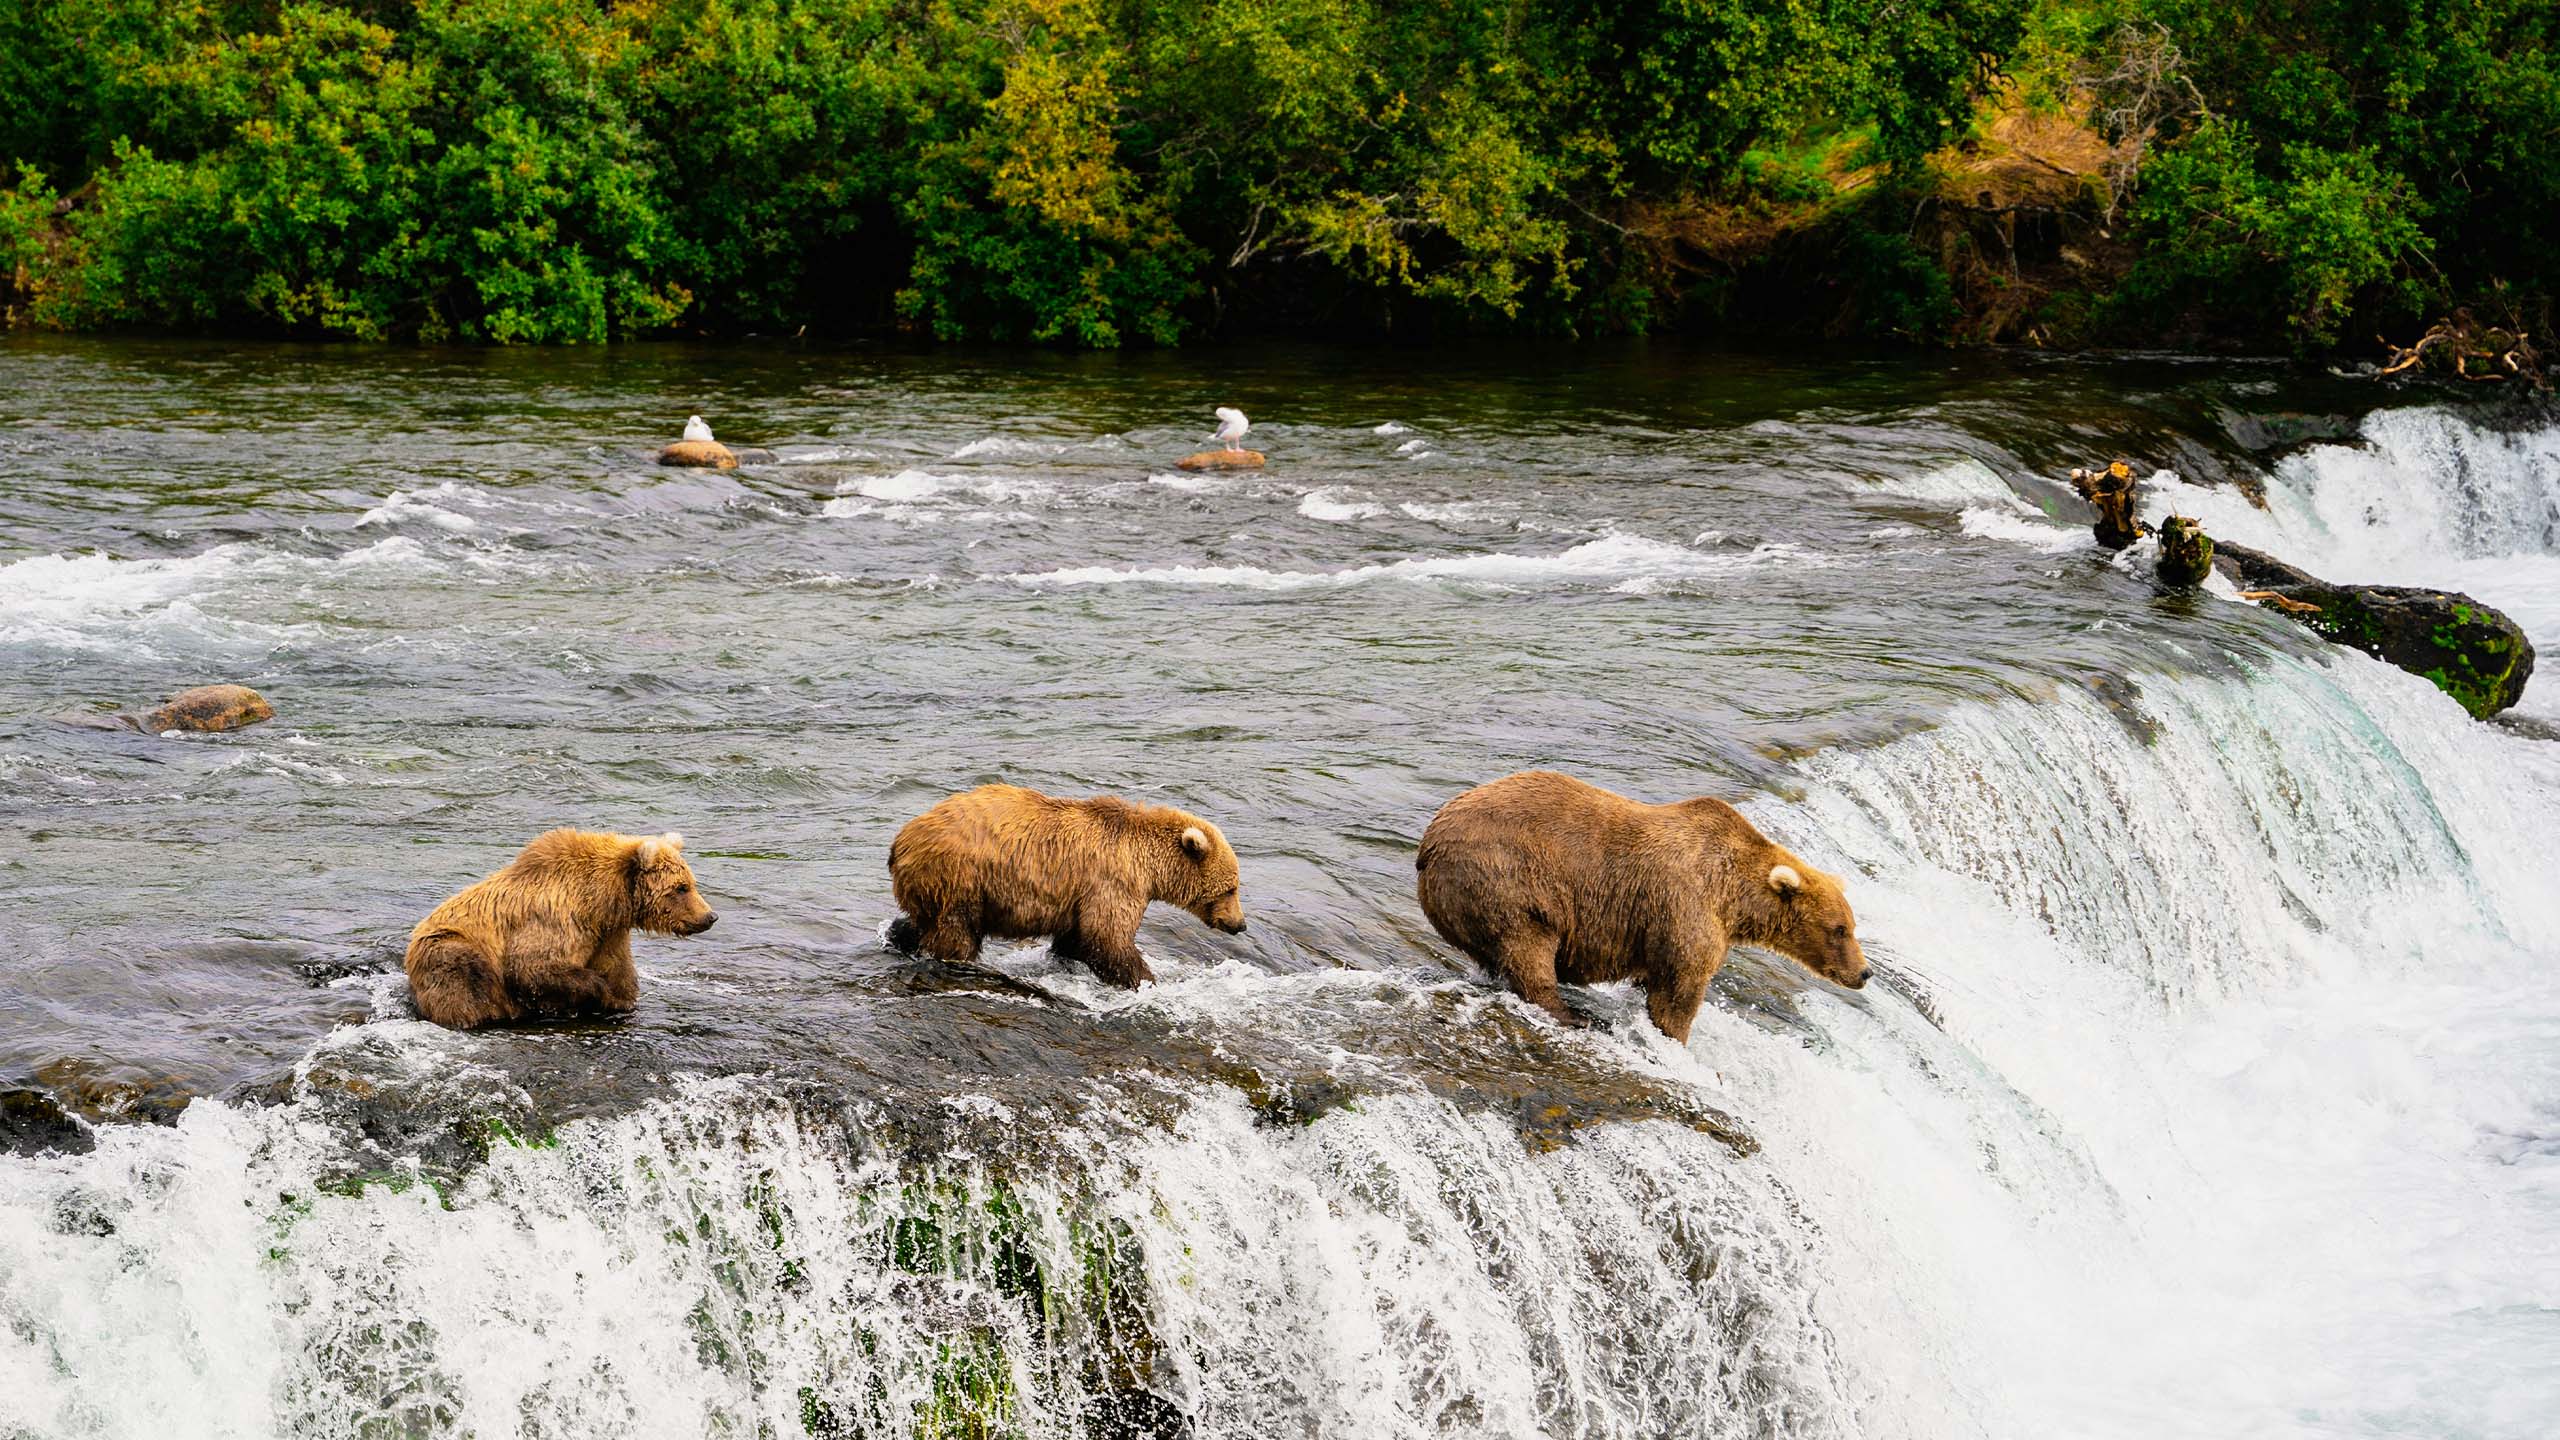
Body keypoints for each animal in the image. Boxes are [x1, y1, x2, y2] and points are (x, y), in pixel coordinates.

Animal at [404, 829, 717, 1029]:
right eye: (681, 887)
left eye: (691, 882)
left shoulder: (608, 934)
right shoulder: (556, 918)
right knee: (462, 979)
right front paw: (597, 991)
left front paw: (617, 1000)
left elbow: (620, 975)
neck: (603, 901)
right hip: (448, 948)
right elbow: (532, 965)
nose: (710, 916)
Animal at [886, 784, 1246, 987]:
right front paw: (1144, 979)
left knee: (922, 922)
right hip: (960, 878)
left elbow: (1077, 939)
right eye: (1230, 888)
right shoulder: (1113, 883)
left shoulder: (1081, 897)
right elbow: (1107, 936)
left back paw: (899, 936)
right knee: (956, 932)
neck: (1147, 863)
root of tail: (902, 839)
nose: (1240, 924)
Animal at [1415, 770, 1865, 1043]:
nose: (1864, 972)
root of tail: (1428, 844)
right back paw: (1570, 1014)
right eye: (1839, 929)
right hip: (1508, 879)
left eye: (1851, 926)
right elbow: (1679, 990)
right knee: (1528, 946)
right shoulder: (1685, 908)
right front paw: (1677, 1039)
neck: (1734, 899)